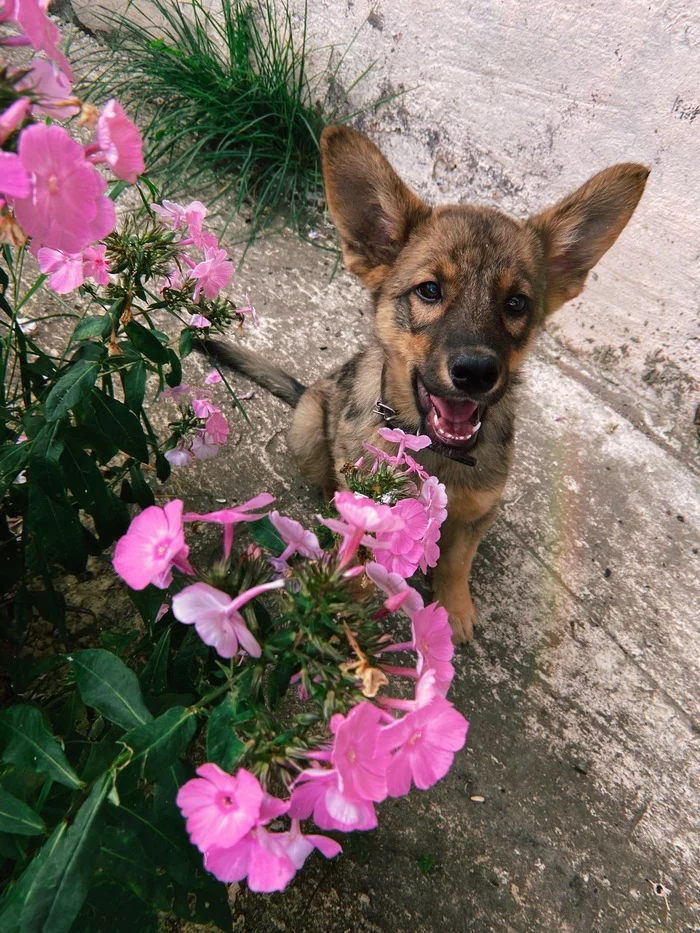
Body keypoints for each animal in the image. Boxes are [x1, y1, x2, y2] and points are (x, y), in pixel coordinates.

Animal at [205, 125, 648, 640]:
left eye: (516, 303)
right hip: (309, 430)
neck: (437, 454)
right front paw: (346, 603)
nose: (475, 373)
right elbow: (364, 555)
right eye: (430, 291)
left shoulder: (478, 512)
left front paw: (452, 609)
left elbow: (457, 559)